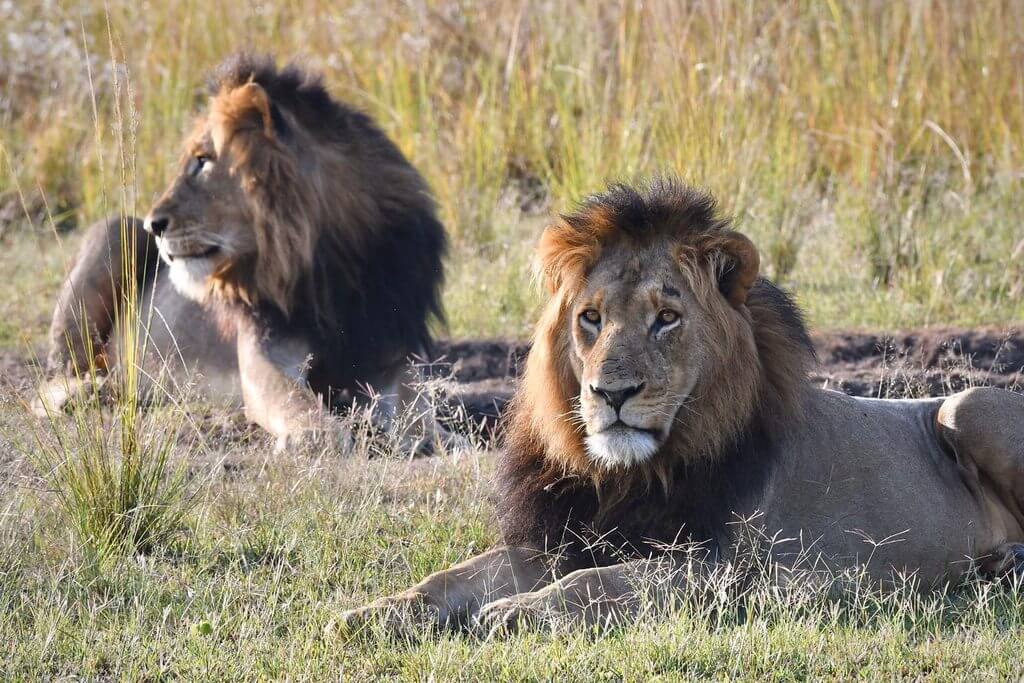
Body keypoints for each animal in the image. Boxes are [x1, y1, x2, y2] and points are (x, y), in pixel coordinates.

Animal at [36, 54, 452, 454]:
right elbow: (298, 405)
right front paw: (316, 435)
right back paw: (90, 391)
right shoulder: (263, 354)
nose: (154, 225)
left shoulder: (392, 350)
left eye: (203, 160)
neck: (330, 265)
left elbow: (420, 408)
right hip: (116, 230)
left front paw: (432, 435)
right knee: (57, 377)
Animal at [342, 178, 1024, 634]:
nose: (611, 394)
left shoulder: (722, 567)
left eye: (666, 318)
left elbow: (600, 581)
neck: (627, 475)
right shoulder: (561, 538)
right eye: (590, 318)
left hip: (966, 405)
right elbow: (452, 577)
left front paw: (513, 612)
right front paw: (370, 613)